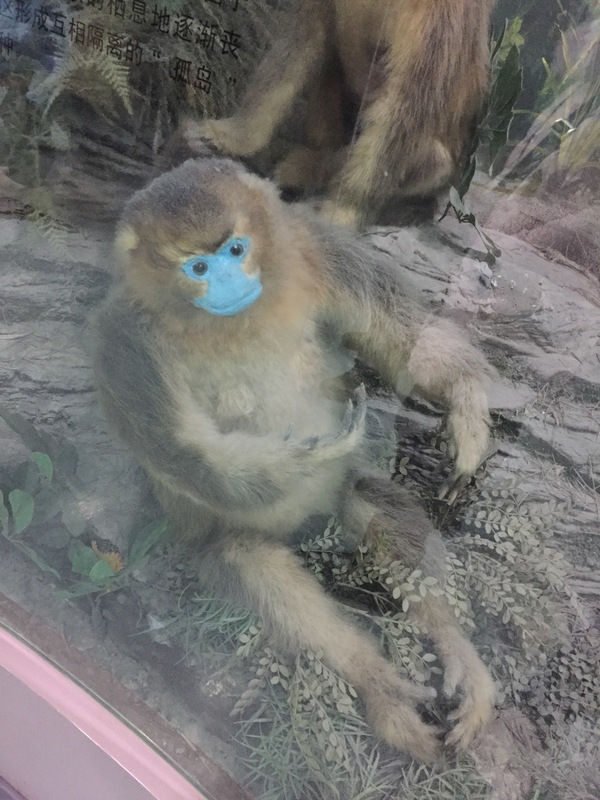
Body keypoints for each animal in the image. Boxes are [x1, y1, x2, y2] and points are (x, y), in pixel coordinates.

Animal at [94, 158, 495, 762]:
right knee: (250, 559)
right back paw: (378, 685)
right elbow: (187, 452)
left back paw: (454, 650)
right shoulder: (126, 343)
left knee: (368, 499)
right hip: (234, 535)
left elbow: (400, 339)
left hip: (339, 502)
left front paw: (467, 412)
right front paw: (308, 455)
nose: (230, 283)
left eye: (236, 250)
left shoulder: (315, 246)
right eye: (198, 266)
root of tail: (308, 528)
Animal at [184, 0, 494, 228]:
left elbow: (406, 105)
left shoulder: (444, 11)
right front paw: (237, 135)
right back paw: (314, 162)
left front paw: (346, 208)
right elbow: (305, 35)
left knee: (434, 160)